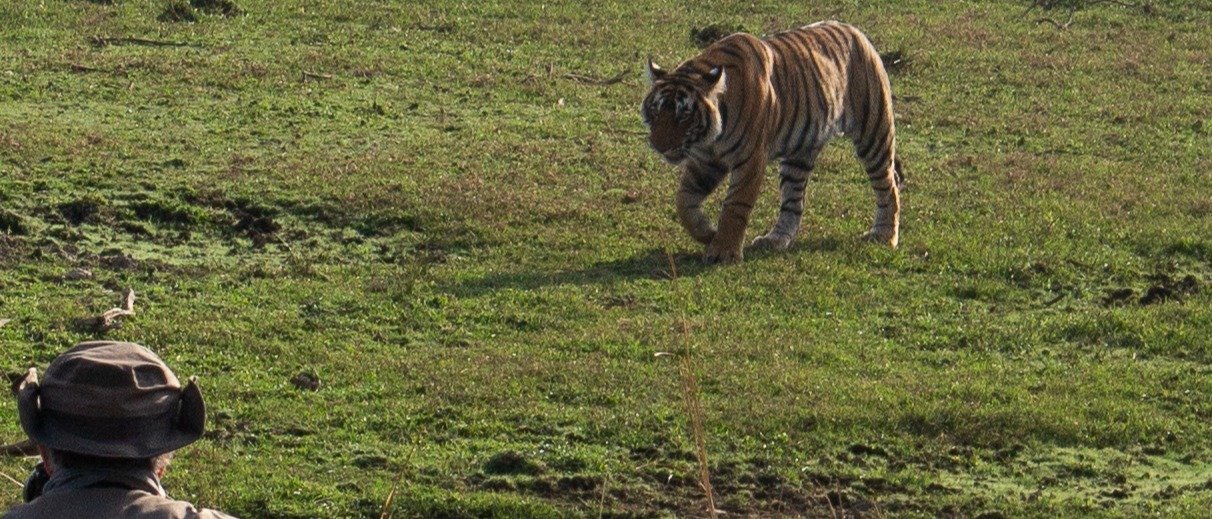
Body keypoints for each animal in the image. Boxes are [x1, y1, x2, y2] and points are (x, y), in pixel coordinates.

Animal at [641, 21, 904, 264]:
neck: (710, 137)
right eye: (656, 111)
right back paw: (774, 240)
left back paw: (884, 236)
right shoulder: (705, 161)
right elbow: (683, 202)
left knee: (888, 185)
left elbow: (735, 205)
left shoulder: (749, 159)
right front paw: (708, 233)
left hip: (873, 132)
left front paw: (723, 251)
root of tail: (855, 31)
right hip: (799, 154)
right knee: (793, 202)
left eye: (683, 115)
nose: (658, 145)